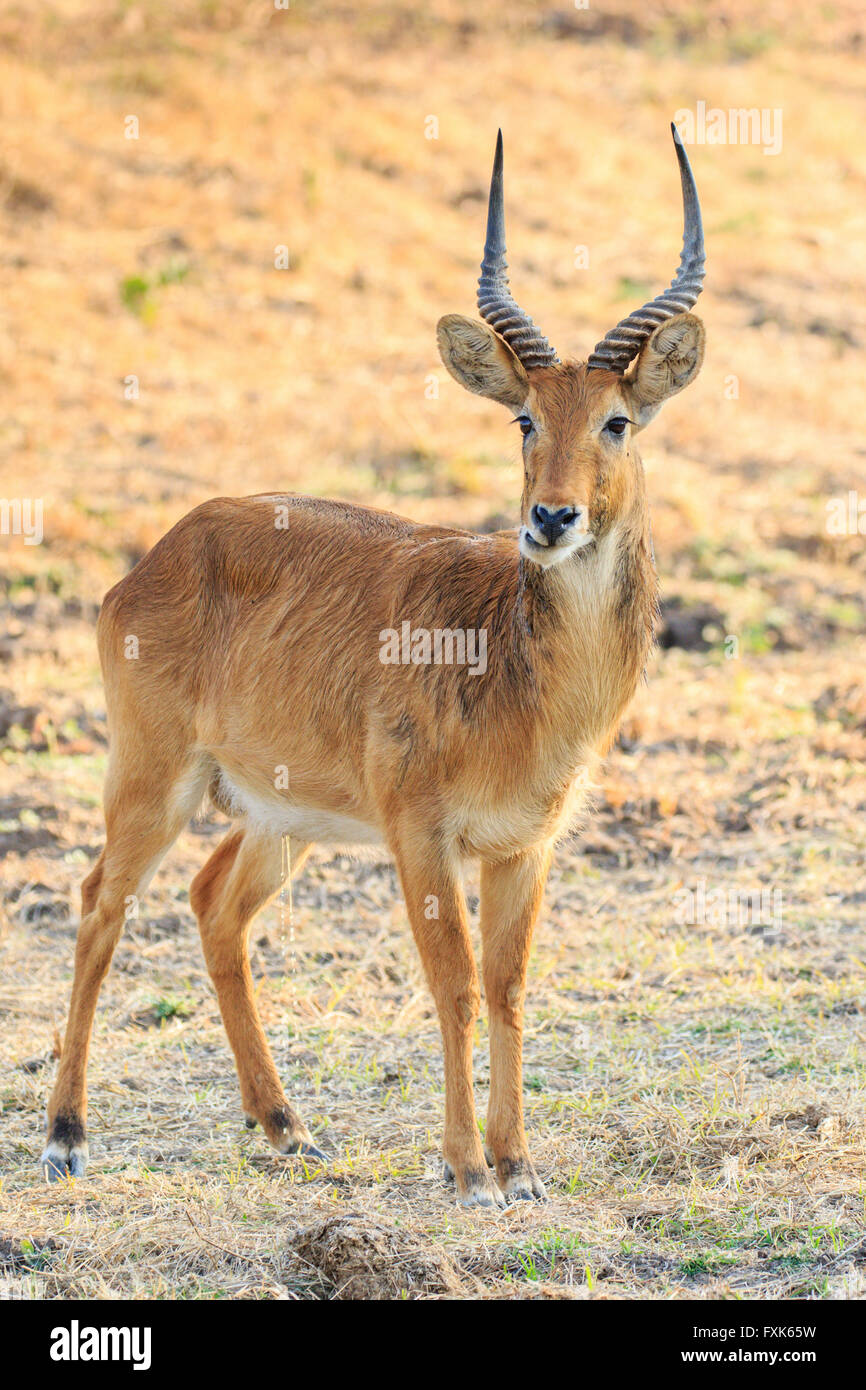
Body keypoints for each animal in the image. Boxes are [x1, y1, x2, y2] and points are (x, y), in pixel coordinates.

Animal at [40, 122, 708, 1206]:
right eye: (523, 417)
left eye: (617, 419)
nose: (550, 518)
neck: (512, 670)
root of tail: (159, 551)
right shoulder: (420, 834)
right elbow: (453, 984)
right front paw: (467, 1169)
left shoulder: (524, 846)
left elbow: (508, 986)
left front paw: (521, 1165)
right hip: (154, 780)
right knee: (101, 899)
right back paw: (65, 1136)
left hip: (280, 816)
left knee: (212, 905)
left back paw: (285, 1126)